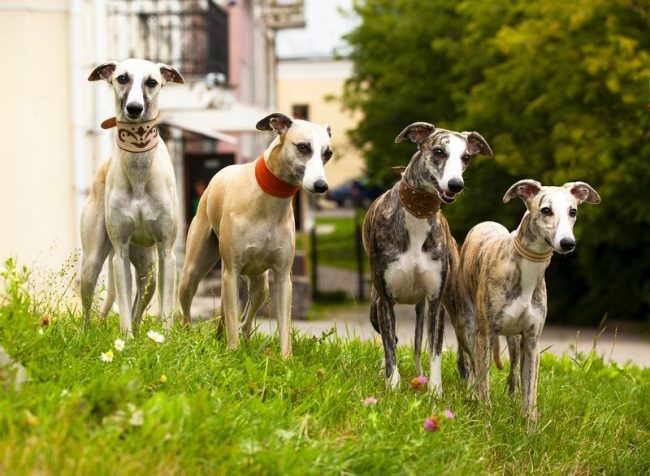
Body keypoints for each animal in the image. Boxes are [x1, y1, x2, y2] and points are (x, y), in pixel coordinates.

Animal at [80, 58, 184, 334]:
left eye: (152, 82)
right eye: (122, 78)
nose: (134, 108)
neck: (139, 171)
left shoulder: (167, 253)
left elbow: (165, 309)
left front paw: (165, 338)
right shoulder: (121, 253)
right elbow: (125, 306)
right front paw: (125, 339)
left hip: (148, 269)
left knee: (141, 302)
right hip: (92, 262)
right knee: (89, 306)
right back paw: (88, 332)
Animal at [177, 112, 332, 356]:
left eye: (328, 153)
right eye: (303, 146)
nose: (321, 186)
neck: (268, 201)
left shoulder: (282, 276)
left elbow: (284, 325)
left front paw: (285, 359)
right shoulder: (231, 273)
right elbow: (231, 322)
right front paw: (232, 352)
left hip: (260, 284)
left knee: (246, 319)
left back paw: (246, 341)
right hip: (193, 271)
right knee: (189, 308)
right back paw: (188, 337)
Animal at [360, 121, 492, 392]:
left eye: (466, 157)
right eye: (439, 151)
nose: (455, 185)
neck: (417, 215)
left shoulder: (435, 302)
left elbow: (435, 349)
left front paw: (435, 390)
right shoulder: (385, 301)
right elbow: (390, 347)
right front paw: (393, 386)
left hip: (458, 310)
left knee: (460, 352)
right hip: (375, 308)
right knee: (399, 341)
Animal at [456, 179, 596, 420]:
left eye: (573, 211)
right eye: (546, 210)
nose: (567, 243)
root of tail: (486, 223)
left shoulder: (531, 341)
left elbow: (530, 395)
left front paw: (528, 426)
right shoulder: (485, 335)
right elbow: (484, 386)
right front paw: (486, 421)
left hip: (513, 338)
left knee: (513, 369)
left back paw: (511, 396)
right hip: (468, 326)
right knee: (471, 364)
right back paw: (471, 394)